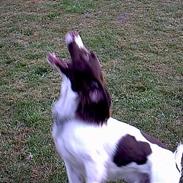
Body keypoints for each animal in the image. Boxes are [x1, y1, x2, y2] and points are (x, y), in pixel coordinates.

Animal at [47, 31, 183, 183]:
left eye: (87, 56)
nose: (74, 33)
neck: (73, 118)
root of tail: (174, 162)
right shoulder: (71, 166)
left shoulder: (94, 167)